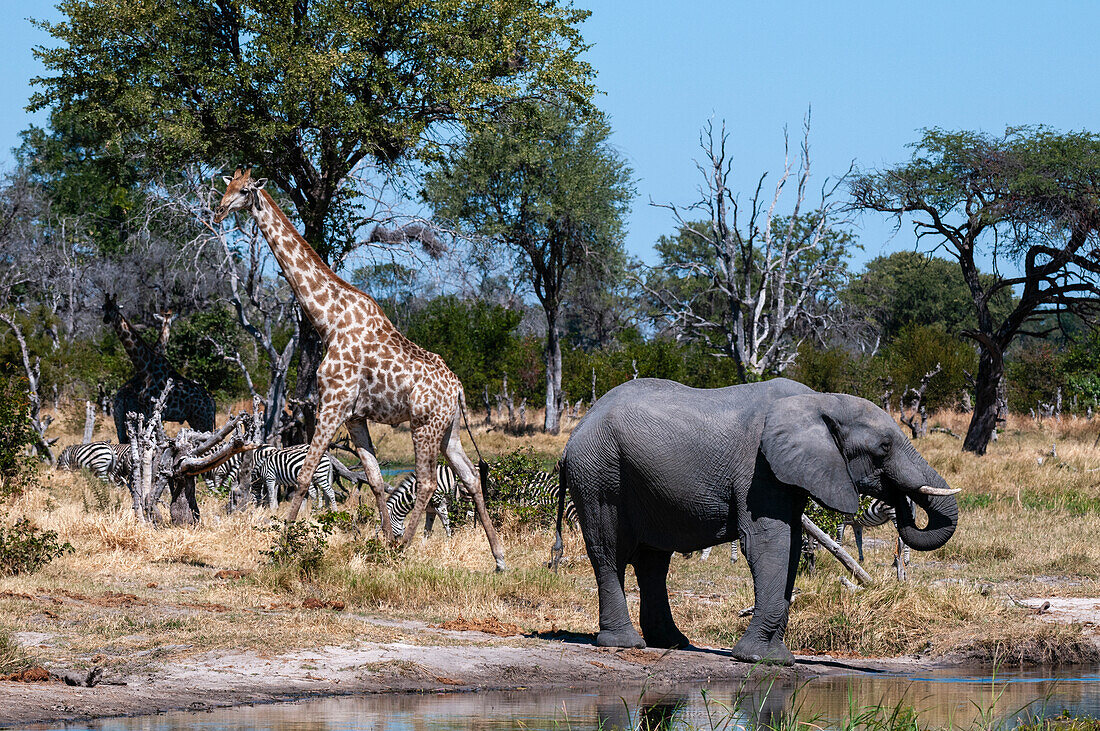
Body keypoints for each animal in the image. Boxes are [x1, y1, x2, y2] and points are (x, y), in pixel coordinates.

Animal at [103, 294, 216, 441]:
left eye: (115, 307)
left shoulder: (155, 412)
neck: (145, 367)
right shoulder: (149, 413)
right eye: (103, 307)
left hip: (203, 419)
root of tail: (212, 402)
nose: (106, 319)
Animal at [213, 168, 506, 567]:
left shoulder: (332, 404)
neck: (328, 320)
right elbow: (376, 479)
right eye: (226, 185)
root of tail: (458, 388)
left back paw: (405, 548)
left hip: (424, 424)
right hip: (450, 428)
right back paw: (498, 558)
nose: (219, 211)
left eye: (244, 191)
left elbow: (305, 476)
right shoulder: (354, 416)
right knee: (472, 477)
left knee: (428, 481)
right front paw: (381, 541)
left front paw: (283, 544)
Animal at [550, 378, 954, 663]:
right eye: (883, 448)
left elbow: (790, 547)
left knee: (653, 561)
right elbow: (769, 543)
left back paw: (673, 643)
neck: (820, 401)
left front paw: (776, 659)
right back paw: (625, 644)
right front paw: (758, 658)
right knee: (609, 551)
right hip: (600, 474)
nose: (899, 501)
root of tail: (573, 436)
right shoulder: (758, 471)